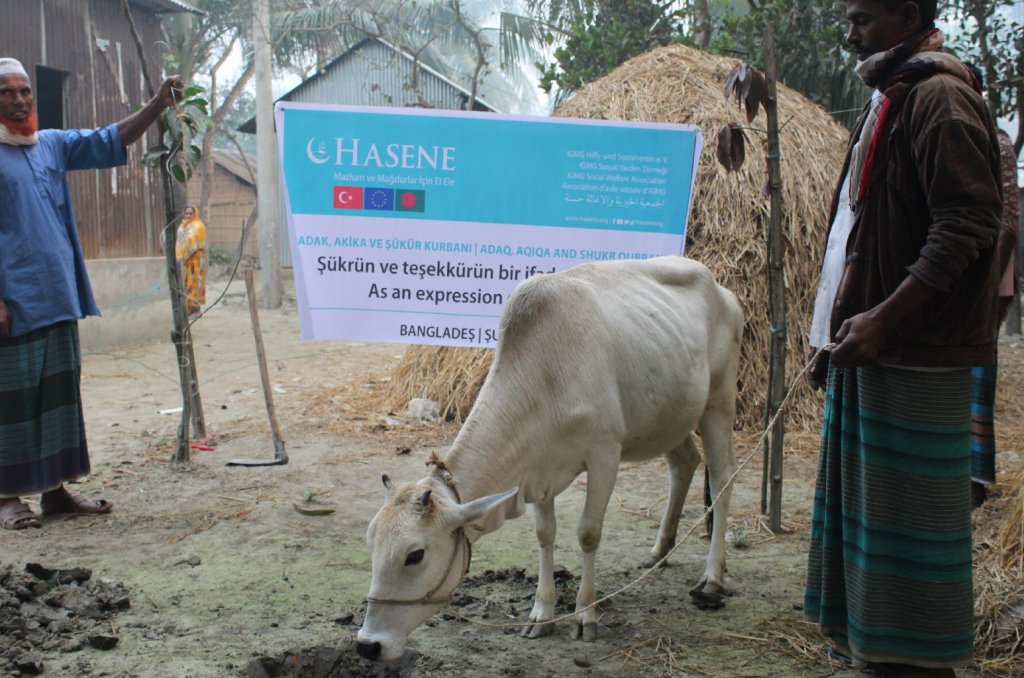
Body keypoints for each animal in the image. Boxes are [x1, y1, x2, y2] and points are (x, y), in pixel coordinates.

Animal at [357, 255, 743, 662]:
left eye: (415, 555)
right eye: (371, 543)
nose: (368, 645)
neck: (546, 375)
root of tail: (723, 290)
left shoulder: (604, 454)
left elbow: (588, 533)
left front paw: (585, 614)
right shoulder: (537, 471)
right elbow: (546, 534)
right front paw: (542, 614)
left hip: (719, 402)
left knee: (722, 476)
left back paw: (713, 577)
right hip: (672, 415)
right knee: (684, 462)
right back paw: (659, 551)